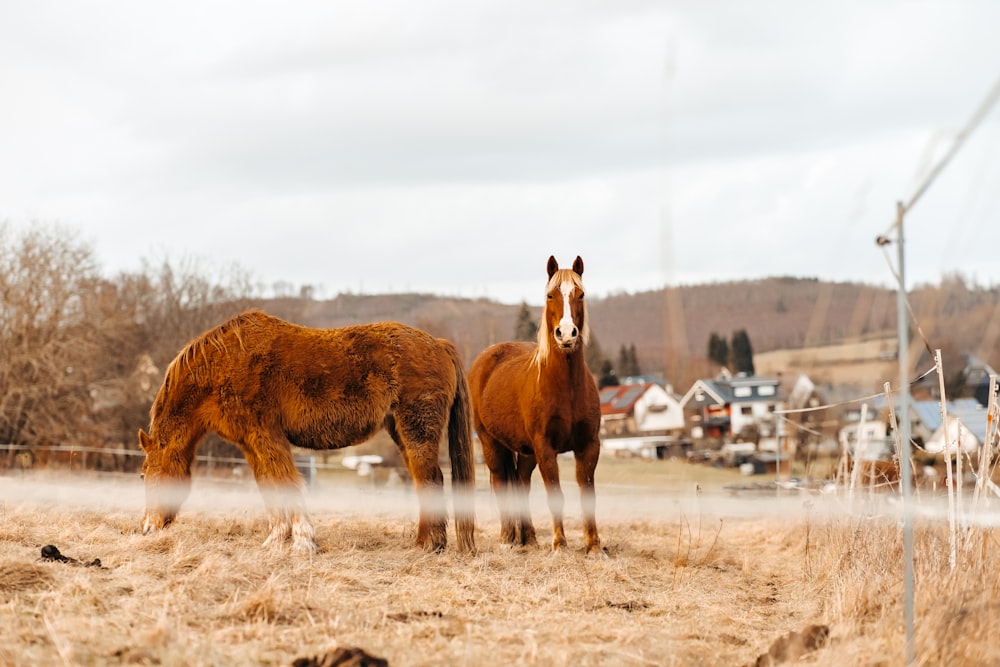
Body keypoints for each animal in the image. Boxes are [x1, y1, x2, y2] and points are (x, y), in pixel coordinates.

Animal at [137, 310, 476, 556]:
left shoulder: (267, 437)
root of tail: (439, 344)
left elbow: (287, 483)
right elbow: (269, 486)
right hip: (401, 433)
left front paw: (302, 541)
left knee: (431, 480)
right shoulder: (252, 444)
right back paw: (425, 543)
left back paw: (430, 545)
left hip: (416, 430)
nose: (147, 528)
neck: (223, 364)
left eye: (145, 475)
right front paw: (276, 540)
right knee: (424, 482)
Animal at [468, 256, 600, 552]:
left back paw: (528, 537)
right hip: (491, 444)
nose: (566, 334)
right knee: (500, 481)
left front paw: (594, 546)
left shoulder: (588, 446)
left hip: (526, 451)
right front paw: (560, 545)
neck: (566, 387)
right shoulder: (545, 448)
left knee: (520, 482)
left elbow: (588, 493)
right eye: (550, 295)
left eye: (581, 294)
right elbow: (555, 494)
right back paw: (507, 538)